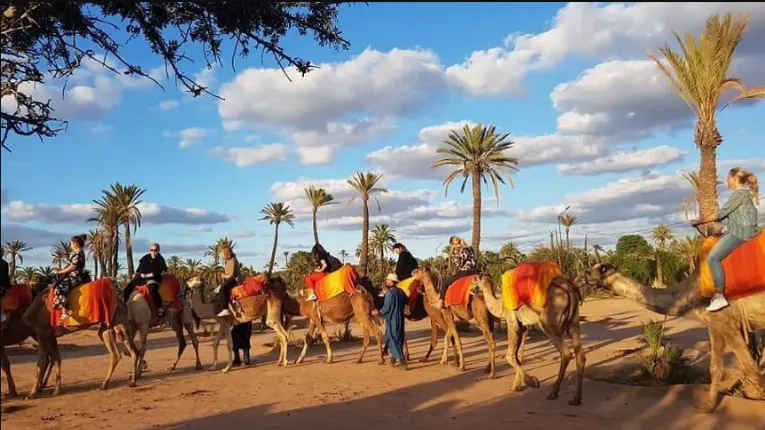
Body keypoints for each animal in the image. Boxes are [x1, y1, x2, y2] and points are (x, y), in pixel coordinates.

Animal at [475, 273, 585, 405]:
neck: (500, 304)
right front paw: (515, 386)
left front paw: (531, 381)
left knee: (566, 353)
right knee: (580, 354)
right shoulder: (522, 327)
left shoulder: (512, 322)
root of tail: (569, 289)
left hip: (548, 321)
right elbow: (517, 356)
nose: (473, 290)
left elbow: (509, 356)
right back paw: (576, 399)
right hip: (574, 321)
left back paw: (553, 393)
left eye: (475, 280)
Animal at [588, 263, 765, 413]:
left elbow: (750, 366)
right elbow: (715, 368)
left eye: (602, 268)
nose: (587, 276)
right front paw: (707, 407)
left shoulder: (727, 323)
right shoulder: (714, 323)